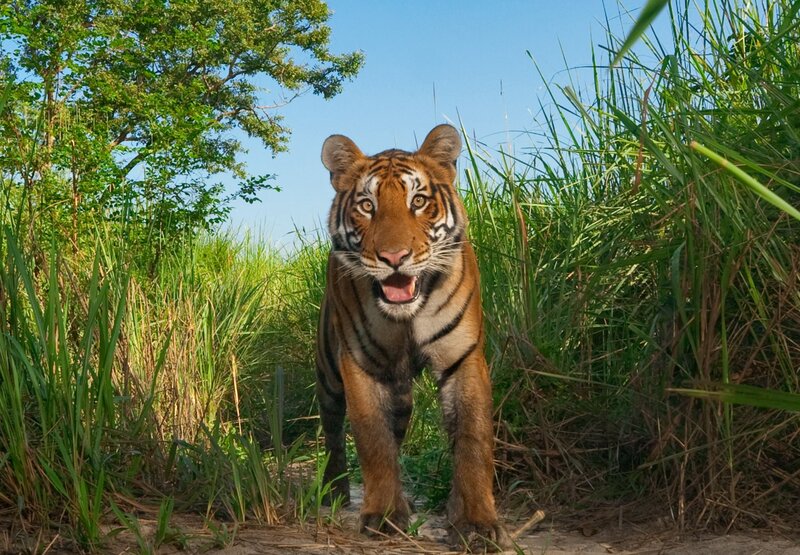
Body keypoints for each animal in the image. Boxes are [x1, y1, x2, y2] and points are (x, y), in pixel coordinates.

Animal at [315, 124, 510, 551]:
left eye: (418, 201)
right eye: (367, 205)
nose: (394, 258)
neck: (407, 317)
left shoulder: (463, 358)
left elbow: (472, 441)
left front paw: (476, 522)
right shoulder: (360, 366)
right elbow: (373, 442)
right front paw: (385, 516)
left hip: (401, 395)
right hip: (329, 374)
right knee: (334, 431)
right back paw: (334, 491)